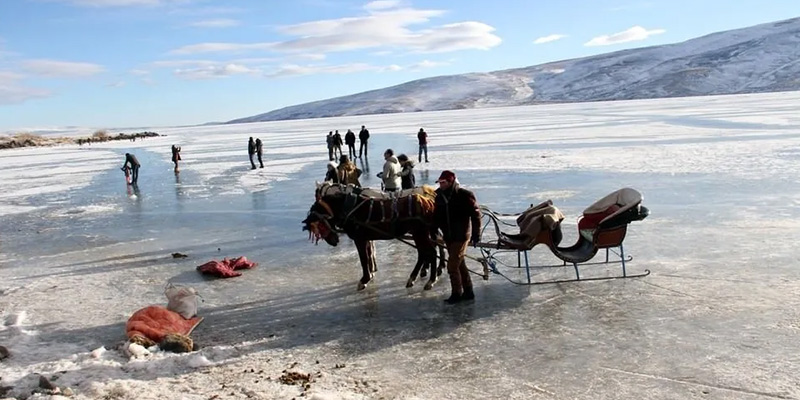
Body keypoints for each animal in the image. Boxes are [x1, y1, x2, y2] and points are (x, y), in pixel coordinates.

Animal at [304, 182, 446, 290]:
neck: (350, 208)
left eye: (319, 225)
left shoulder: (360, 239)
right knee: (427, 251)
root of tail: (428, 199)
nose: (334, 241)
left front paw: (365, 279)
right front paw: (371, 273)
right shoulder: (367, 238)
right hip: (420, 233)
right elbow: (369, 255)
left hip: (420, 233)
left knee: (432, 251)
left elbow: (364, 259)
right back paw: (417, 276)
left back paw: (431, 279)